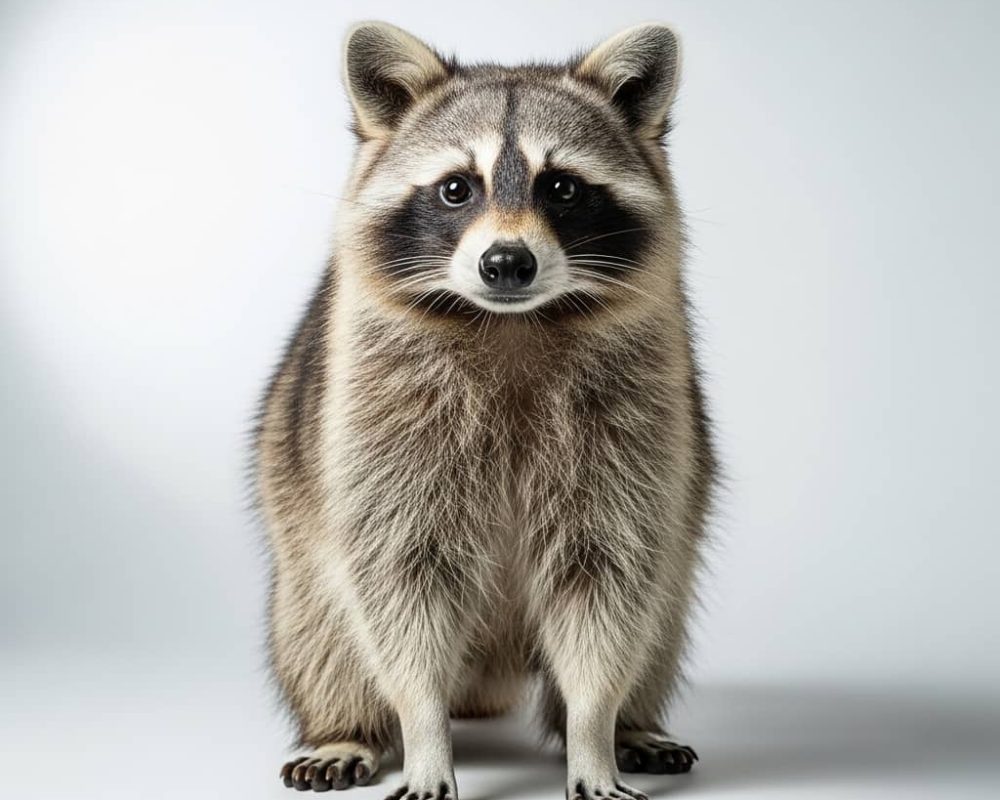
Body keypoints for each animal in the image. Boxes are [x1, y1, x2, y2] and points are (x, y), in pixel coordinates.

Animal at [254, 20, 716, 800]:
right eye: (455, 188)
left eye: (561, 186)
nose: (506, 263)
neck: (511, 322)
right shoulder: (378, 419)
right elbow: (399, 586)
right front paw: (423, 733)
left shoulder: (637, 418)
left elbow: (608, 585)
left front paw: (594, 731)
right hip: (300, 543)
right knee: (322, 634)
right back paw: (343, 726)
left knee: (657, 623)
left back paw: (633, 723)